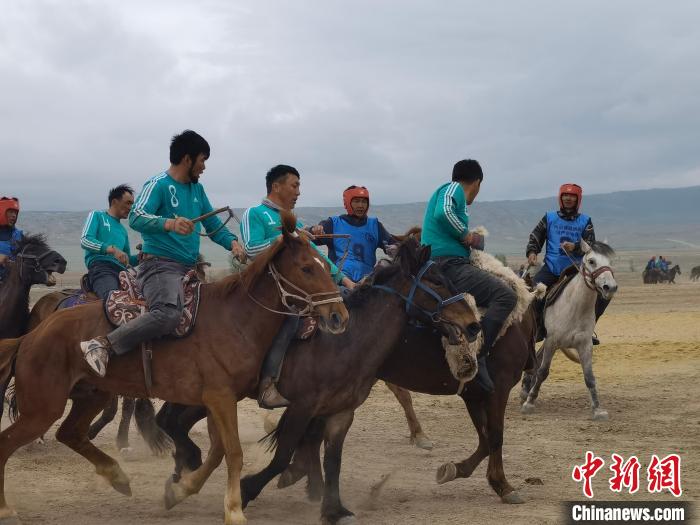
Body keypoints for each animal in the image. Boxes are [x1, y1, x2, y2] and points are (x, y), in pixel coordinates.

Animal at [0, 210, 348, 524]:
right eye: (306, 267)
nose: (338, 316)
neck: (236, 319)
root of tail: (30, 337)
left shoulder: (219, 400)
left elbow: (219, 451)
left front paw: (179, 491)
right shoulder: (219, 398)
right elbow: (233, 452)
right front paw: (234, 510)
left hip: (91, 395)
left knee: (70, 433)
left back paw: (117, 477)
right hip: (43, 408)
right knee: (9, 442)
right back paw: (7, 508)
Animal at [520, 239, 616, 420]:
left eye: (611, 262)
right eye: (591, 261)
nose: (610, 287)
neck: (575, 307)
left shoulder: (585, 345)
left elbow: (589, 377)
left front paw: (597, 409)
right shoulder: (552, 342)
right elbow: (543, 371)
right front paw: (529, 403)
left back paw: (525, 389)